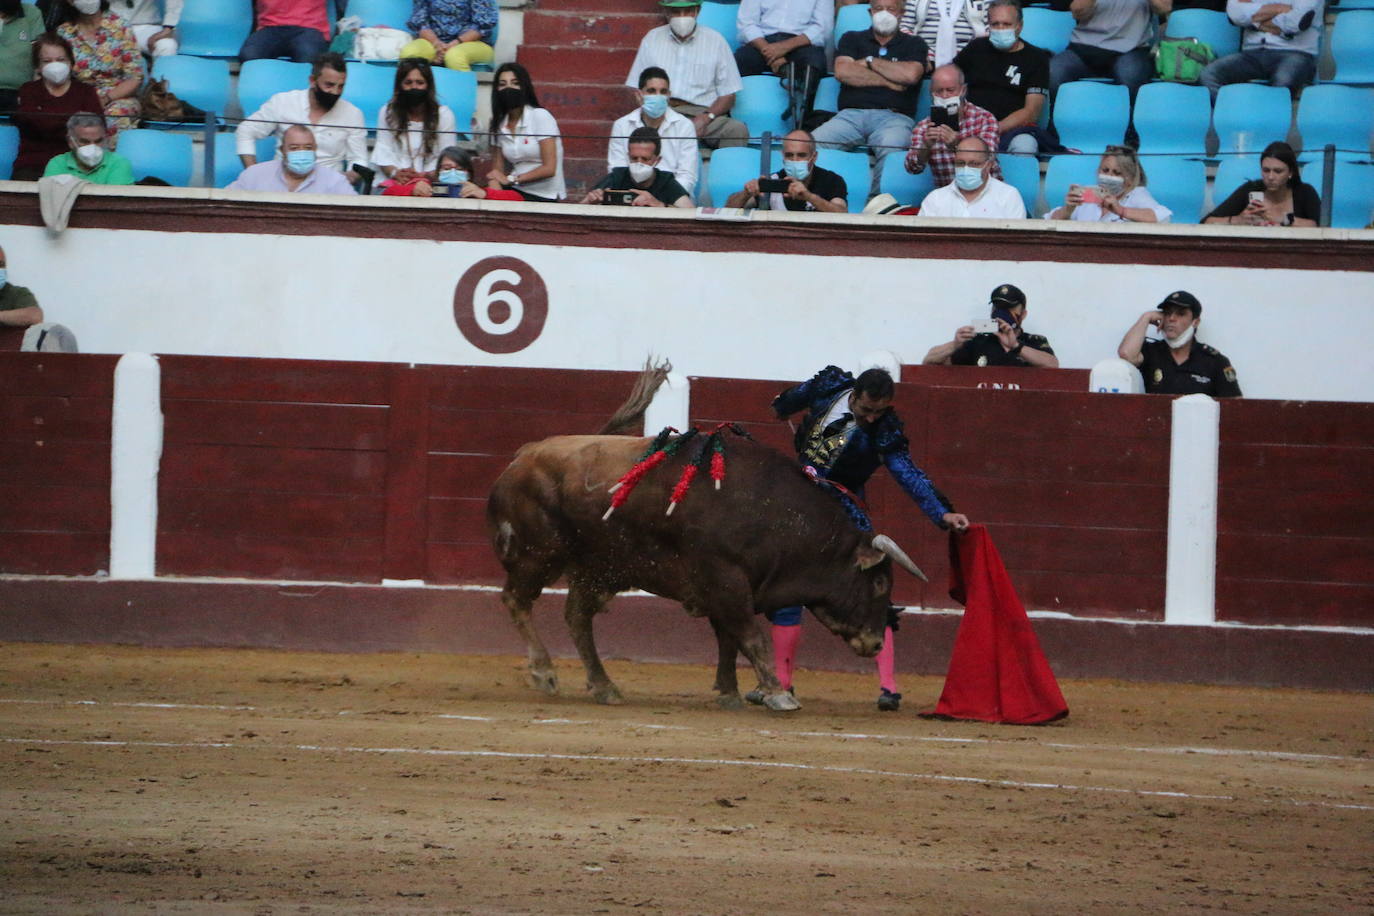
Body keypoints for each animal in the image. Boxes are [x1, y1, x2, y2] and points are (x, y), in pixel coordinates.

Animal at [483, 376, 923, 714]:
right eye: (879, 583)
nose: (876, 641)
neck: (774, 514)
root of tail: (522, 456)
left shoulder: (728, 588)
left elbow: (728, 639)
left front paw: (729, 693)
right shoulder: (726, 580)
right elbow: (751, 636)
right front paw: (778, 694)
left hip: (600, 568)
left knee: (576, 617)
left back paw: (605, 686)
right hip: (538, 555)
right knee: (517, 600)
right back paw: (544, 673)